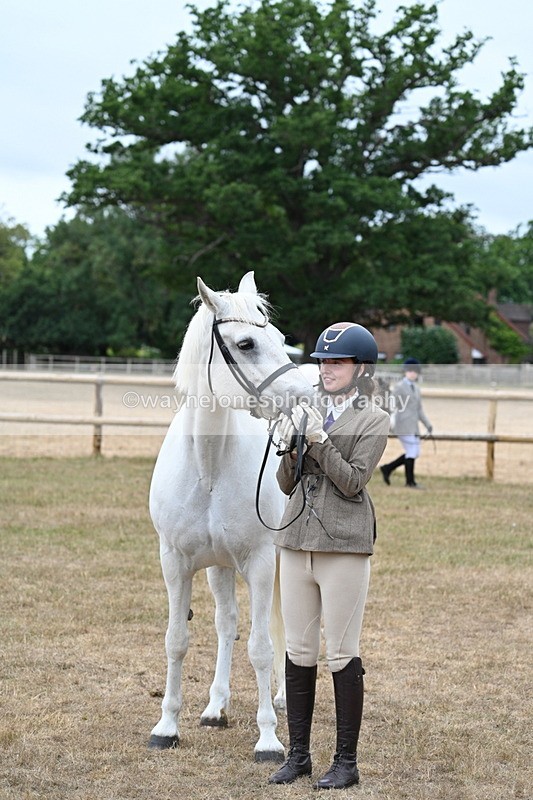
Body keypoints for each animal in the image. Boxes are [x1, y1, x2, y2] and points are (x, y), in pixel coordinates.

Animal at [148, 271, 315, 762]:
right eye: (246, 343)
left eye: (279, 336)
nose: (307, 400)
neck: (208, 468)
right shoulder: (175, 563)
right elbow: (177, 641)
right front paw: (167, 726)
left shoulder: (260, 562)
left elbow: (260, 648)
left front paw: (269, 739)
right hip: (218, 567)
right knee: (227, 625)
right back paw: (215, 707)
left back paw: (281, 699)